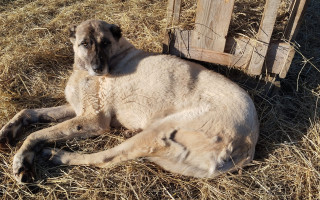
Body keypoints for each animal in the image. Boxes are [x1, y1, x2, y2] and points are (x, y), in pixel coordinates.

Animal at [0, 19, 258, 183]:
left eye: (105, 43)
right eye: (85, 43)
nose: (98, 68)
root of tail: (248, 143)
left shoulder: (93, 120)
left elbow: (36, 134)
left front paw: (22, 159)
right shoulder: (76, 109)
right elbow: (29, 112)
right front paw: (8, 131)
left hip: (157, 130)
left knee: (106, 158)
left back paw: (58, 155)